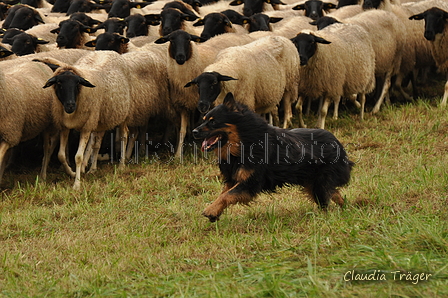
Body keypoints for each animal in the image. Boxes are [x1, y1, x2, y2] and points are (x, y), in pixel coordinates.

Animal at [38, 51, 131, 190]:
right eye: (59, 84)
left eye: (77, 84)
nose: (70, 105)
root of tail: (108, 51)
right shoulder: (65, 126)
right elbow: (61, 155)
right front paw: (71, 172)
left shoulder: (86, 126)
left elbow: (78, 156)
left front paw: (77, 184)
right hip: (101, 118)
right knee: (96, 142)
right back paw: (91, 168)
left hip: (123, 113)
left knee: (124, 135)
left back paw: (121, 165)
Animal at [192, 92, 354, 221]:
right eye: (204, 119)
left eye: (213, 121)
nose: (193, 131)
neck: (244, 141)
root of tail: (337, 142)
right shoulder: (234, 178)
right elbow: (224, 194)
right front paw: (215, 211)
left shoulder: (251, 182)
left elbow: (227, 195)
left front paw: (210, 210)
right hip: (312, 182)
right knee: (334, 193)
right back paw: (345, 209)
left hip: (319, 182)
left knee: (325, 200)